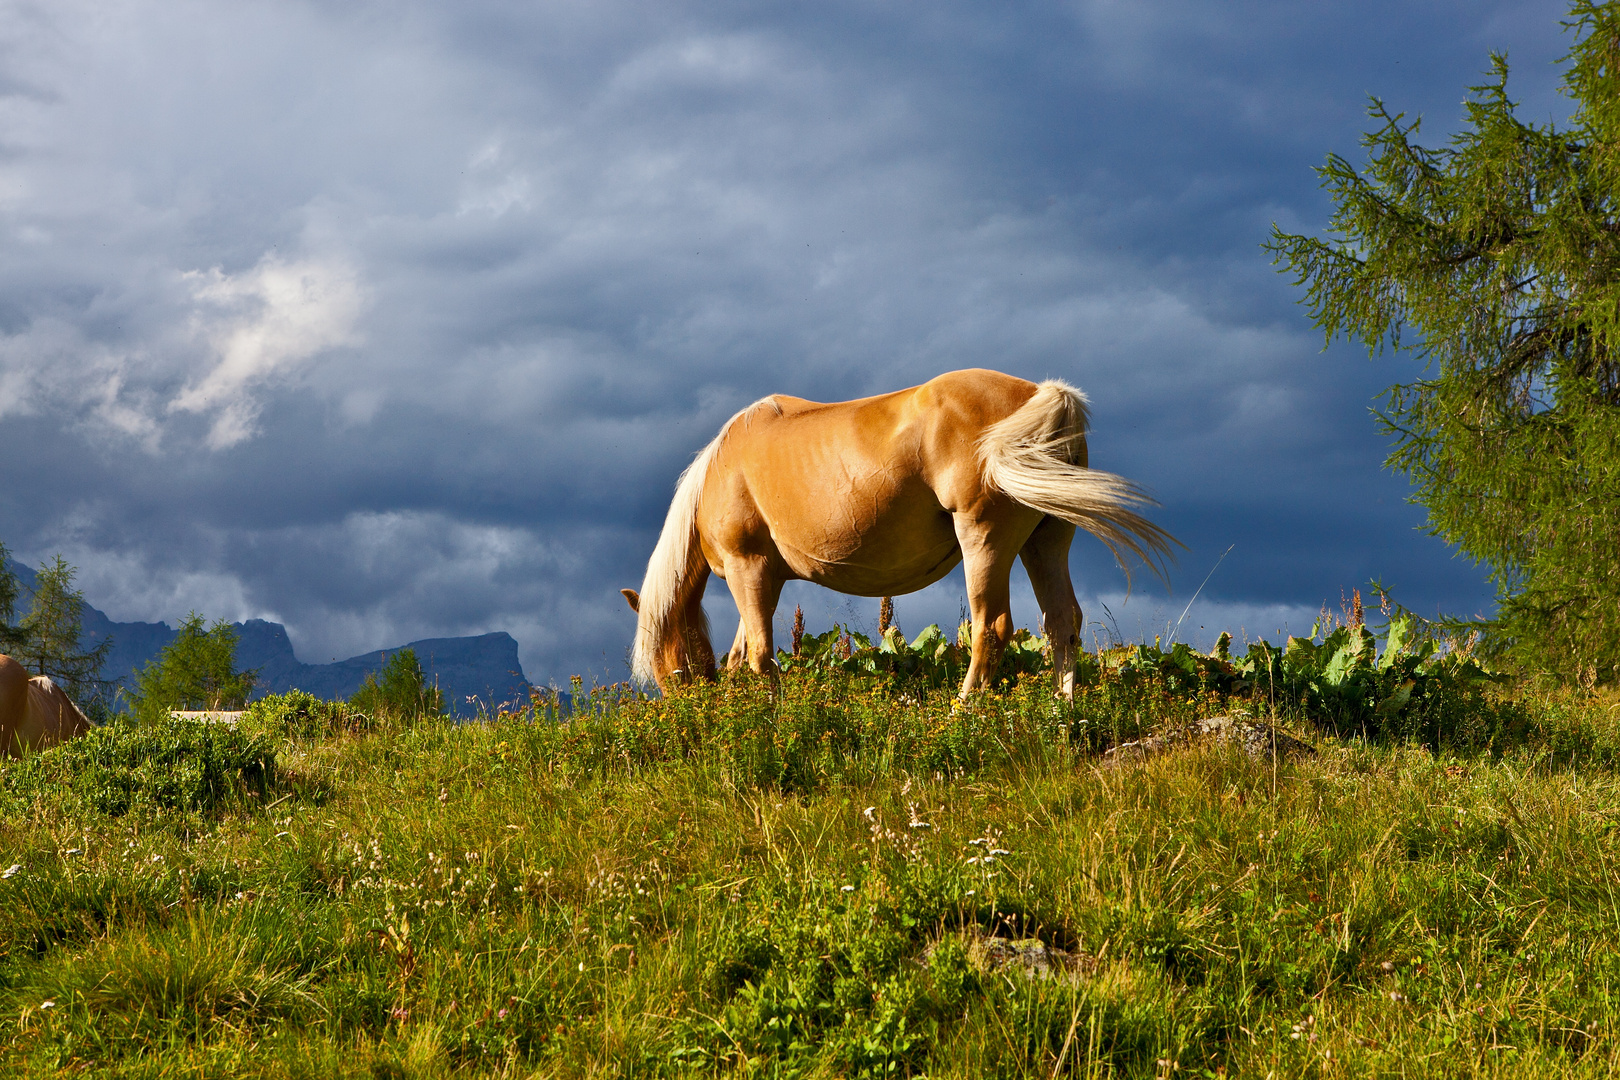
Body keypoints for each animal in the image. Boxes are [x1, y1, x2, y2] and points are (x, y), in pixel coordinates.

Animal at [622, 369, 1179, 702]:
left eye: (666, 667)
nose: (687, 716)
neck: (720, 470)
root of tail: (1039, 394)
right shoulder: (765, 580)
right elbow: (742, 656)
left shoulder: (749, 570)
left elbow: (759, 656)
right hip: (1045, 542)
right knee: (1062, 622)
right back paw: (1063, 711)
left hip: (984, 539)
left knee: (991, 628)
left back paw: (963, 709)